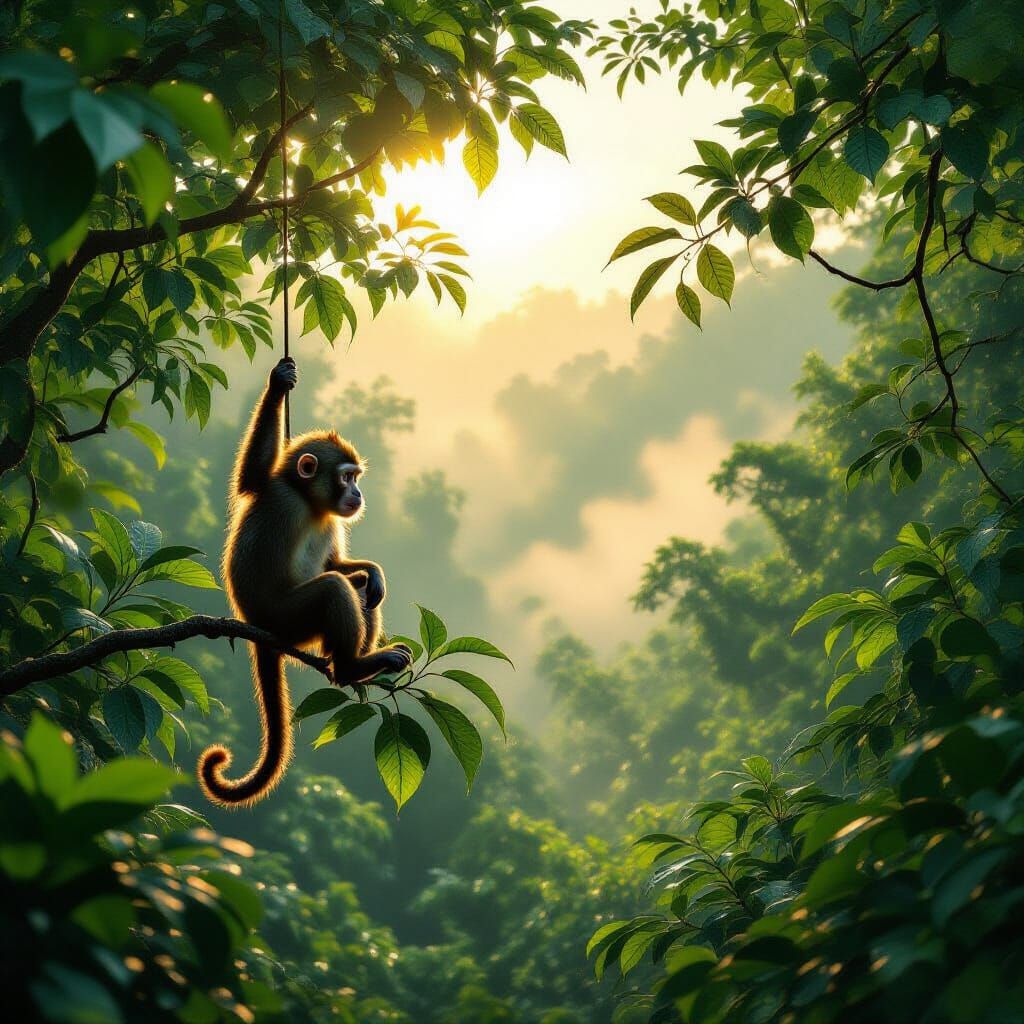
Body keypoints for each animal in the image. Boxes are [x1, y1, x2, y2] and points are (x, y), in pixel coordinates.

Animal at [198, 356, 412, 807]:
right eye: (347, 477)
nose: (358, 494)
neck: (310, 503)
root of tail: (257, 626)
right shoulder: (280, 494)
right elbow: (251, 479)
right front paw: (278, 383)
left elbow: (339, 564)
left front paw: (375, 571)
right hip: (289, 622)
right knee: (333, 589)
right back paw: (350, 668)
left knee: (359, 589)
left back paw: (355, 664)